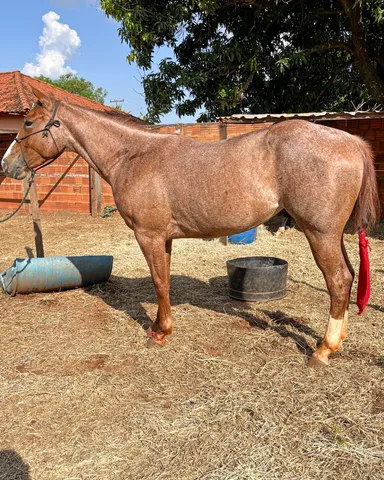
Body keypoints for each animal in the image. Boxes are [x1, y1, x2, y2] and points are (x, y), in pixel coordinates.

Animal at [1, 89, 380, 368]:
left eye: (29, 121)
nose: (6, 165)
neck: (134, 156)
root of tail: (350, 142)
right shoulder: (164, 239)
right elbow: (165, 282)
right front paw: (160, 327)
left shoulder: (149, 236)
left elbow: (159, 283)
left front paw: (159, 333)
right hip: (331, 235)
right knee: (346, 278)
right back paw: (337, 342)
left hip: (320, 234)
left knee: (339, 281)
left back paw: (322, 351)